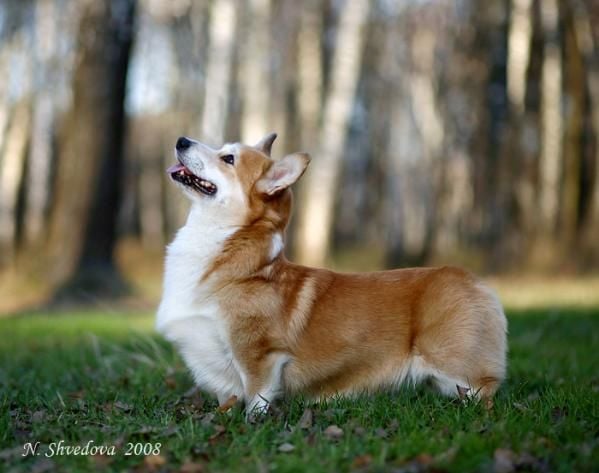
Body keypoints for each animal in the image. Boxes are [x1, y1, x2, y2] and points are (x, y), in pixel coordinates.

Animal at [157, 133, 508, 416]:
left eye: (228, 158)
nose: (181, 140)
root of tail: (474, 280)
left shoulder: (259, 355)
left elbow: (257, 400)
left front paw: (252, 426)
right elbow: (227, 401)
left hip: (454, 367)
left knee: (484, 393)